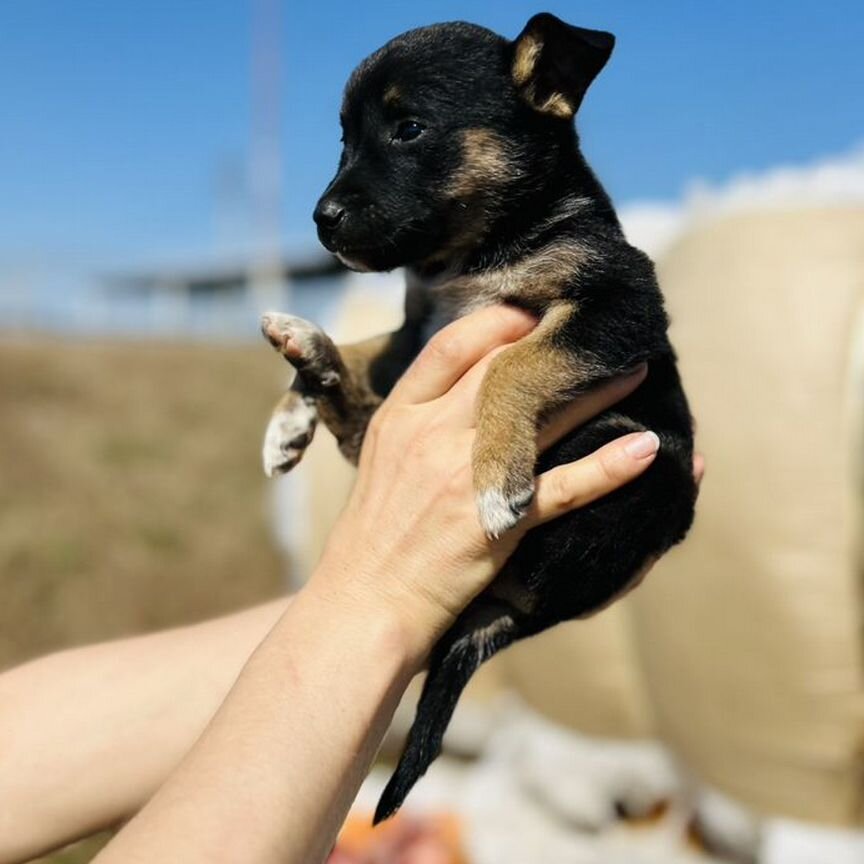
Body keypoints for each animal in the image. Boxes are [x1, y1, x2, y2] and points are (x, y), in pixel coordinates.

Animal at [260, 15, 700, 824]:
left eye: (407, 129)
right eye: (343, 138)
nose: (321, 221)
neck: (468, 260)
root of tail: (514, 617)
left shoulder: (622, 306)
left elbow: (513, 363)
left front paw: (496, 478)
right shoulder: (416, 337)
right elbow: (374, 352)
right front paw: (287, 418)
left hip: (637, 454)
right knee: (360, 429)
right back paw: (308, 353)